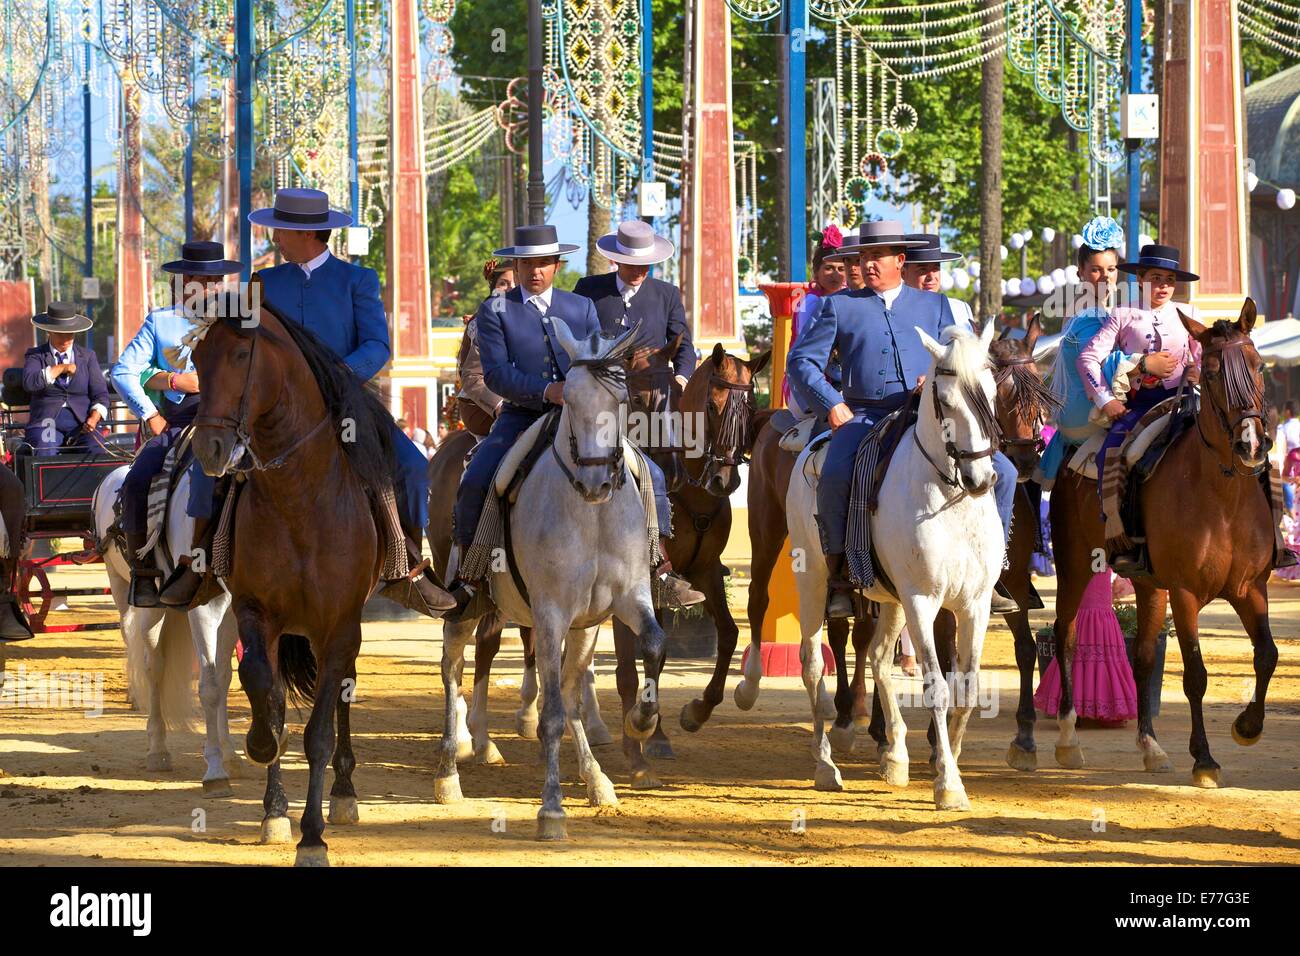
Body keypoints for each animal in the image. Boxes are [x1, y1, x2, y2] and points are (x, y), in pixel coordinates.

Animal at [94, 468, 244, 796]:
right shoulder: (204, 607)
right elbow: (209, 685)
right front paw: (215, 770)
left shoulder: (233, 610)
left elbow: (223, 675)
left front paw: (229, 751)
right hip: (134, 596)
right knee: (153, 666)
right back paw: (157, 749)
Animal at [436, 319, 665, 837]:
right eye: (571, 402)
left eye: (621, 401)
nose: (599, 482)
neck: (591, 514)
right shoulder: (551, 614)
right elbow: (554, 713)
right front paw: (552, 807)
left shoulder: (624, 600)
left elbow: (652, 647)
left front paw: (640, 723)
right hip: (465, 606)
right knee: (453, 668)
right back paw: (450, 770)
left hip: (579, 626)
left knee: (570, 686)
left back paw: (596, 778)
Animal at [611, 338, 764, 785]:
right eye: (712, 406)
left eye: (750, 408)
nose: (725, 480)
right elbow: (628, 667)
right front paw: (636, 750)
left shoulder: (704, 571)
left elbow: (727, 634)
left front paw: (692, 714)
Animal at [780, 323, 1003, 816]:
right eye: (946, 400)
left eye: (992, 392)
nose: (981, 480)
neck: (950, 500)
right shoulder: (923, 601)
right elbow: (937, 686)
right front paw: (949, 785)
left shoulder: (973, 605)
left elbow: (968, 687)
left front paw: (946, 759)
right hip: (814, 582)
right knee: (812, 664)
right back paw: (825, 765)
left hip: (893, 600)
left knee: (880, 659)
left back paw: (896, 756)